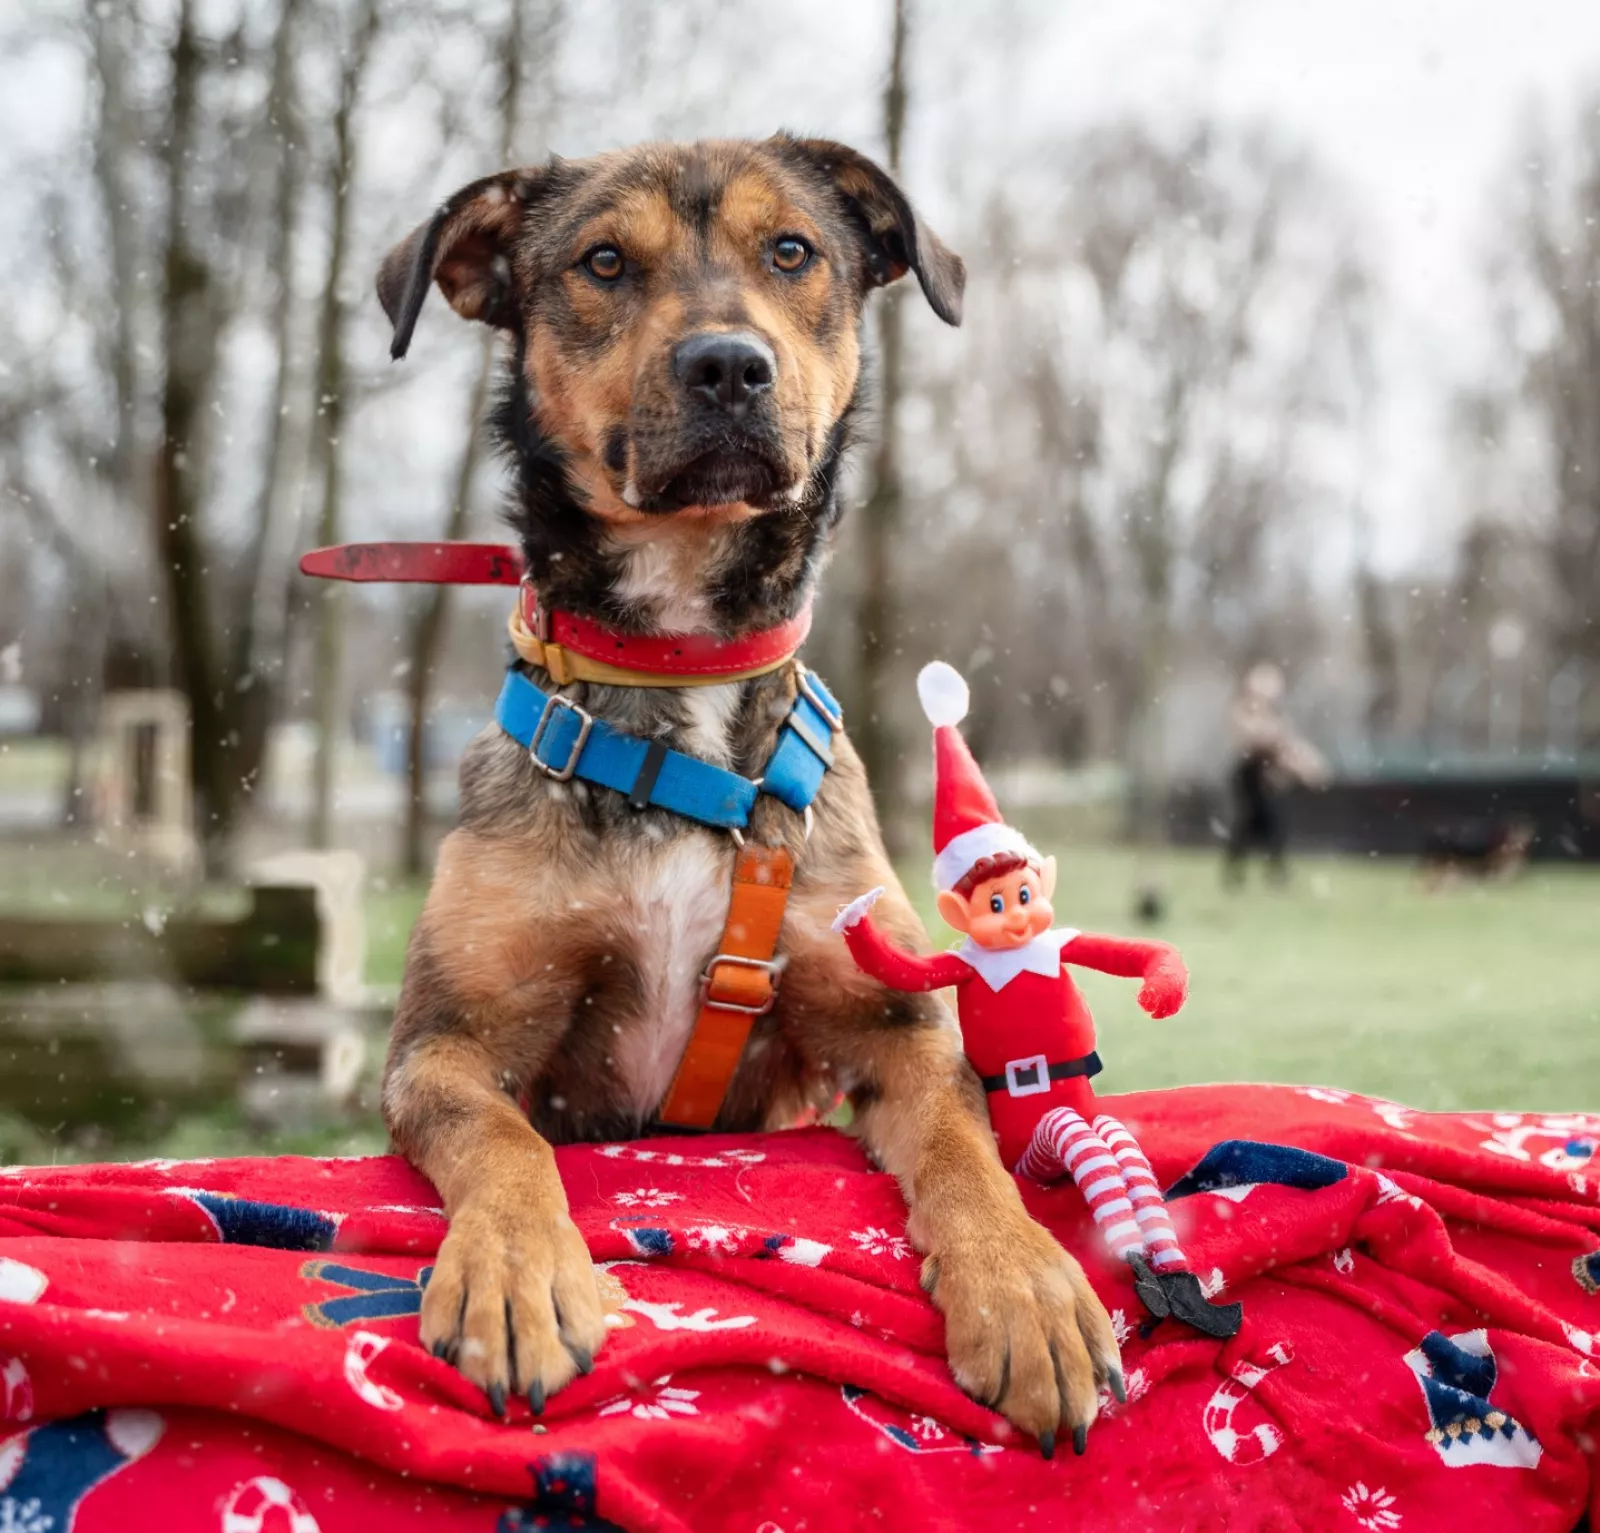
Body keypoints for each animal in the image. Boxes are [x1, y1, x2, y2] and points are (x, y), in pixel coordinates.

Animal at [375, 135, 1119, 1454]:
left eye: (792, 250)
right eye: (601, 261)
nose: (727, 363)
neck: (684, 675)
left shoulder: (894, 1023)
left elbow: (964, 1145)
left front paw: (1026, 1287)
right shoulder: (443, 1043)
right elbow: (499, 1136)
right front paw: (517, 1272)